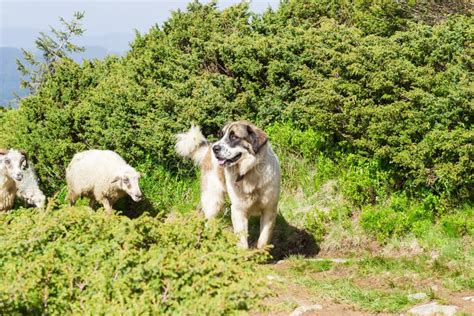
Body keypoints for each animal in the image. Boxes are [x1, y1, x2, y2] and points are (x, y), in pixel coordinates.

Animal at [175, 121, 280, 249]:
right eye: (221, 135)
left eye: (234, 137)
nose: (215, 148)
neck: (249, 172)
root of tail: (208, 148)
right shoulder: (238, 210)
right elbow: (242, 240)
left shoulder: (269, 209)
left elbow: (263, 239)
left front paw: (261, 251)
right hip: (213, 200)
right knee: (208, 219)